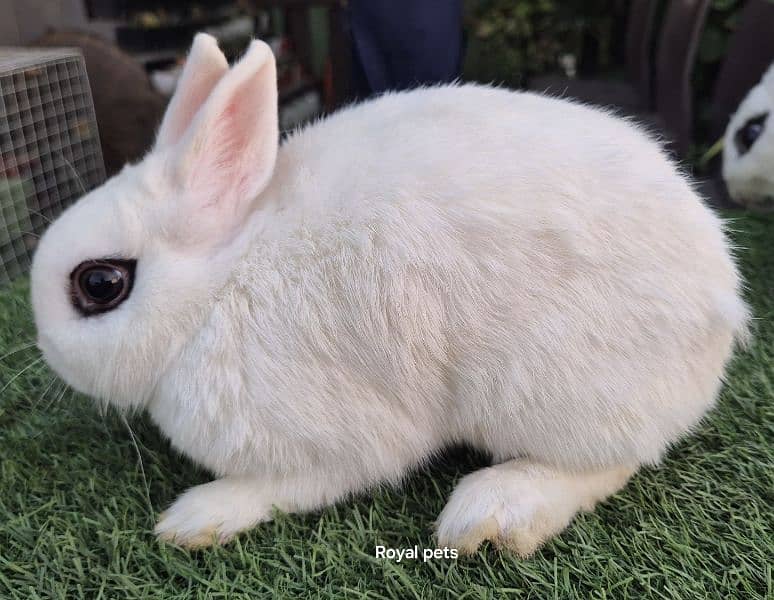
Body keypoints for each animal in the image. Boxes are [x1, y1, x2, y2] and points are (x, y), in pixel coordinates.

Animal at [31, 35, 752, 556]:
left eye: (101, 284)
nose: (42, 348)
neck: (218, 287)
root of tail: (723, 304)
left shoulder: (333, 438)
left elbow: (289, 486)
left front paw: (196, 517)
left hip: (553, 388)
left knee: (611, 463)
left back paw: (493, 512)